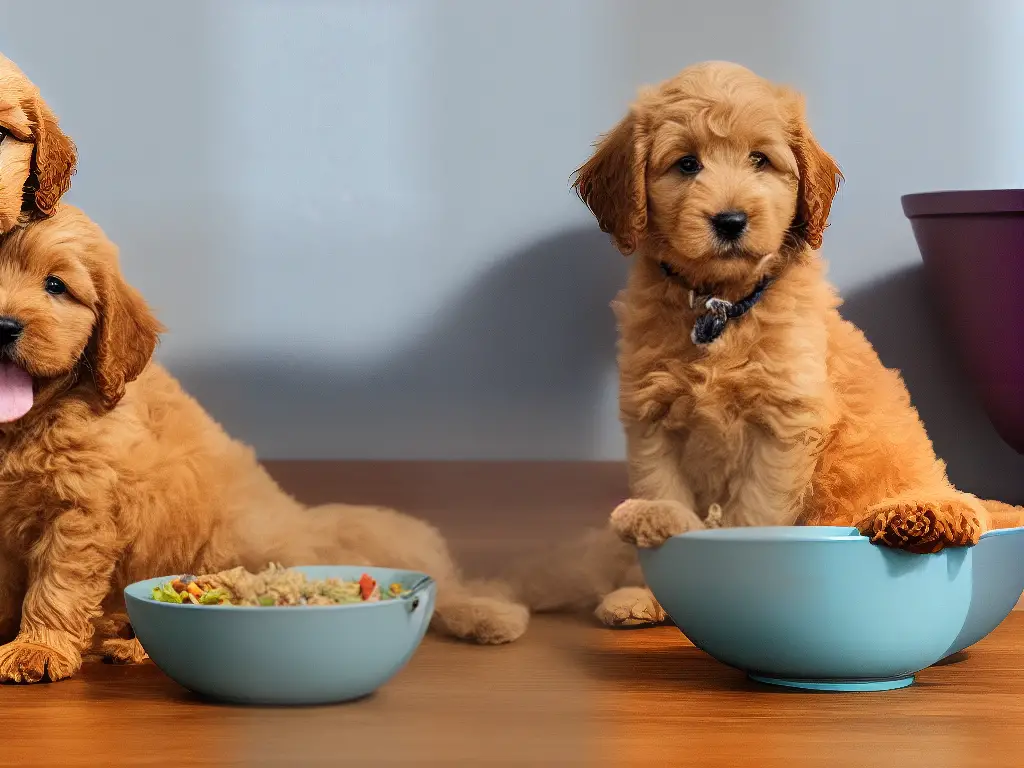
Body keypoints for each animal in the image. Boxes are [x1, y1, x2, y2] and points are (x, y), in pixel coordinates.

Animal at [0, 207, 528, 684]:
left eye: (55, 285)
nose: (5, 325)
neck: (20, 427)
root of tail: (302, 524)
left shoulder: (80, 512)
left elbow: (56, 585)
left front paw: (36, 648)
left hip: (229, 541)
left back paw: (133, 644)